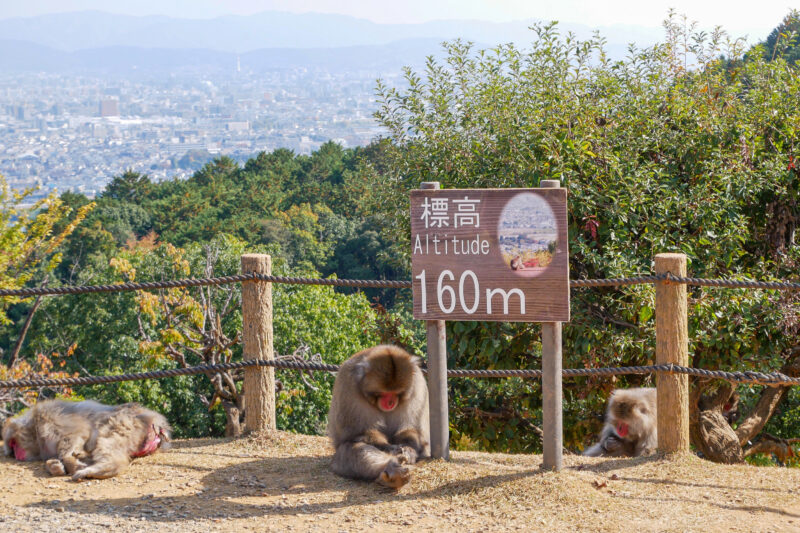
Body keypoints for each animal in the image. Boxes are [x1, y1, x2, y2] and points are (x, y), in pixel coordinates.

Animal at [3, 396, 170, 480]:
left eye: (13, 444)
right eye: (12, 448)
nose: (17, 455)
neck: (35, 429)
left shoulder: (50, 418)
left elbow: (77, 433)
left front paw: (69, 462)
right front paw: (55, 466)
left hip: (125, 421)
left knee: (107, 440)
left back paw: (98, 469)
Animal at [324, 342, 428, 488]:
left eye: (396, 392)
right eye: (383, 393)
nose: (390, 402)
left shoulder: (417, 385)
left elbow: (411, 429)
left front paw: (409, 450)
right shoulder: (348, 387)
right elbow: (359, 433)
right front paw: (390, 448)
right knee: (351, 450)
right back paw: (392, 470)